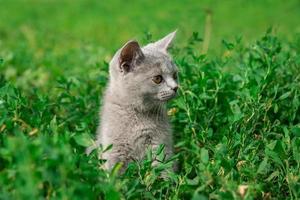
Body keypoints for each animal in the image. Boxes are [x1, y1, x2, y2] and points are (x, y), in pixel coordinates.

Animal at [88, 30, 179, 171]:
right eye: (157, 79)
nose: (175, 87)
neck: (137, 115)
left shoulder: (159, 144)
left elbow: (162, 167)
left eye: (175, 75)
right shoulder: (114, 150)